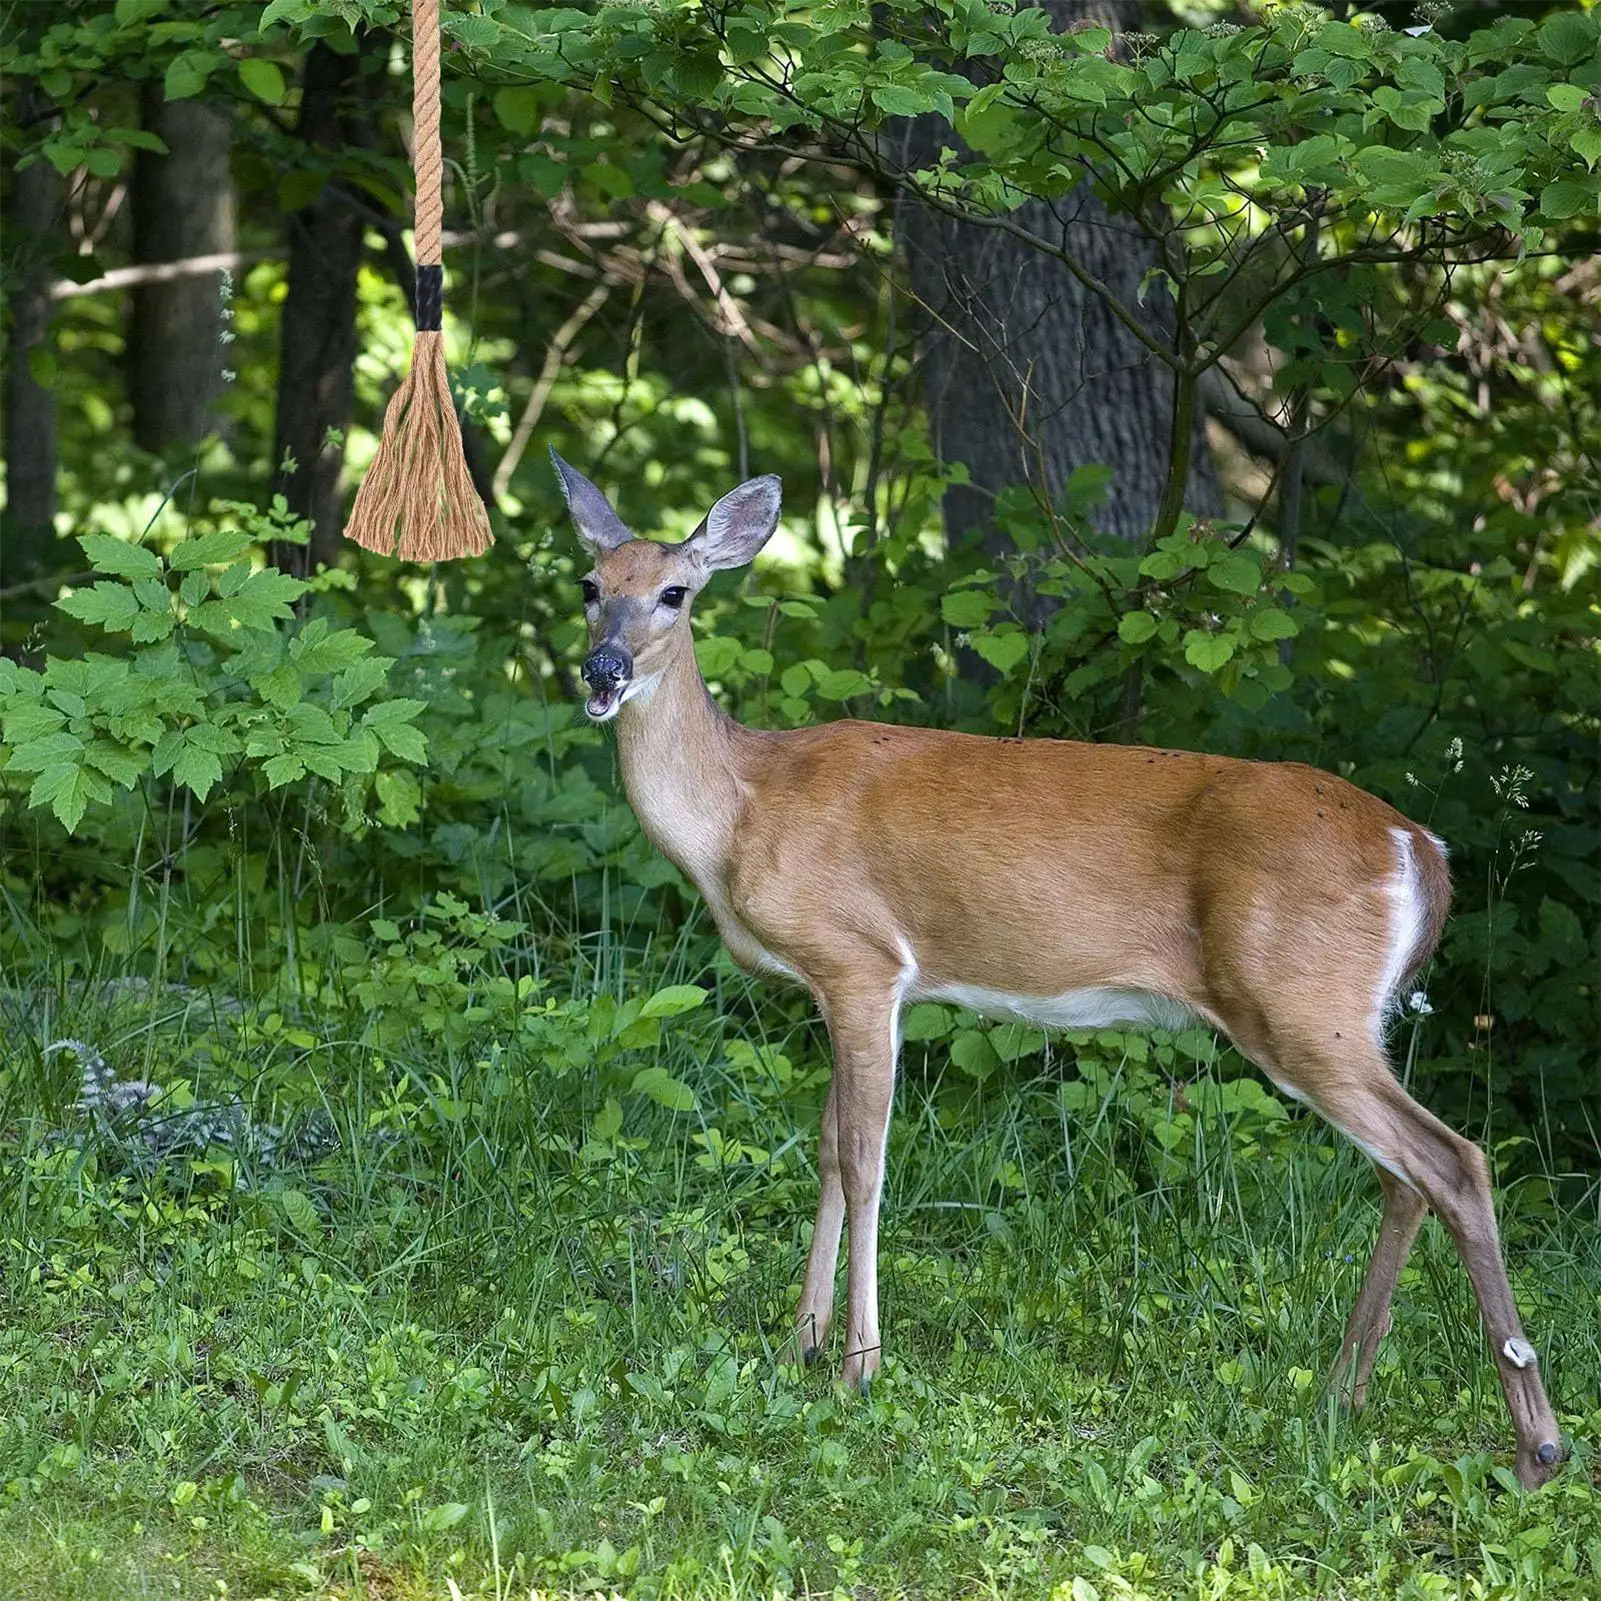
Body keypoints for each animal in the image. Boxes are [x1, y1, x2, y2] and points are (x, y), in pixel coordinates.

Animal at [549, 449, 1564, 1490]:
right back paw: (1341, 1394)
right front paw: (802, 1342)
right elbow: (829, 1150)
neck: (742, 812)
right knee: (1405, 1176)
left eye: (675, 592)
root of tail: (1423, 851)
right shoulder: (837, 988)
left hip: (1297, 1002)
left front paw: (857, 1365)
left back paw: (1534, 1444)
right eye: (589, 584)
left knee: (1452, 1159)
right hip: (1339, 1017)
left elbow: (866, 1157)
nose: (602, 668)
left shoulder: (861, 961)